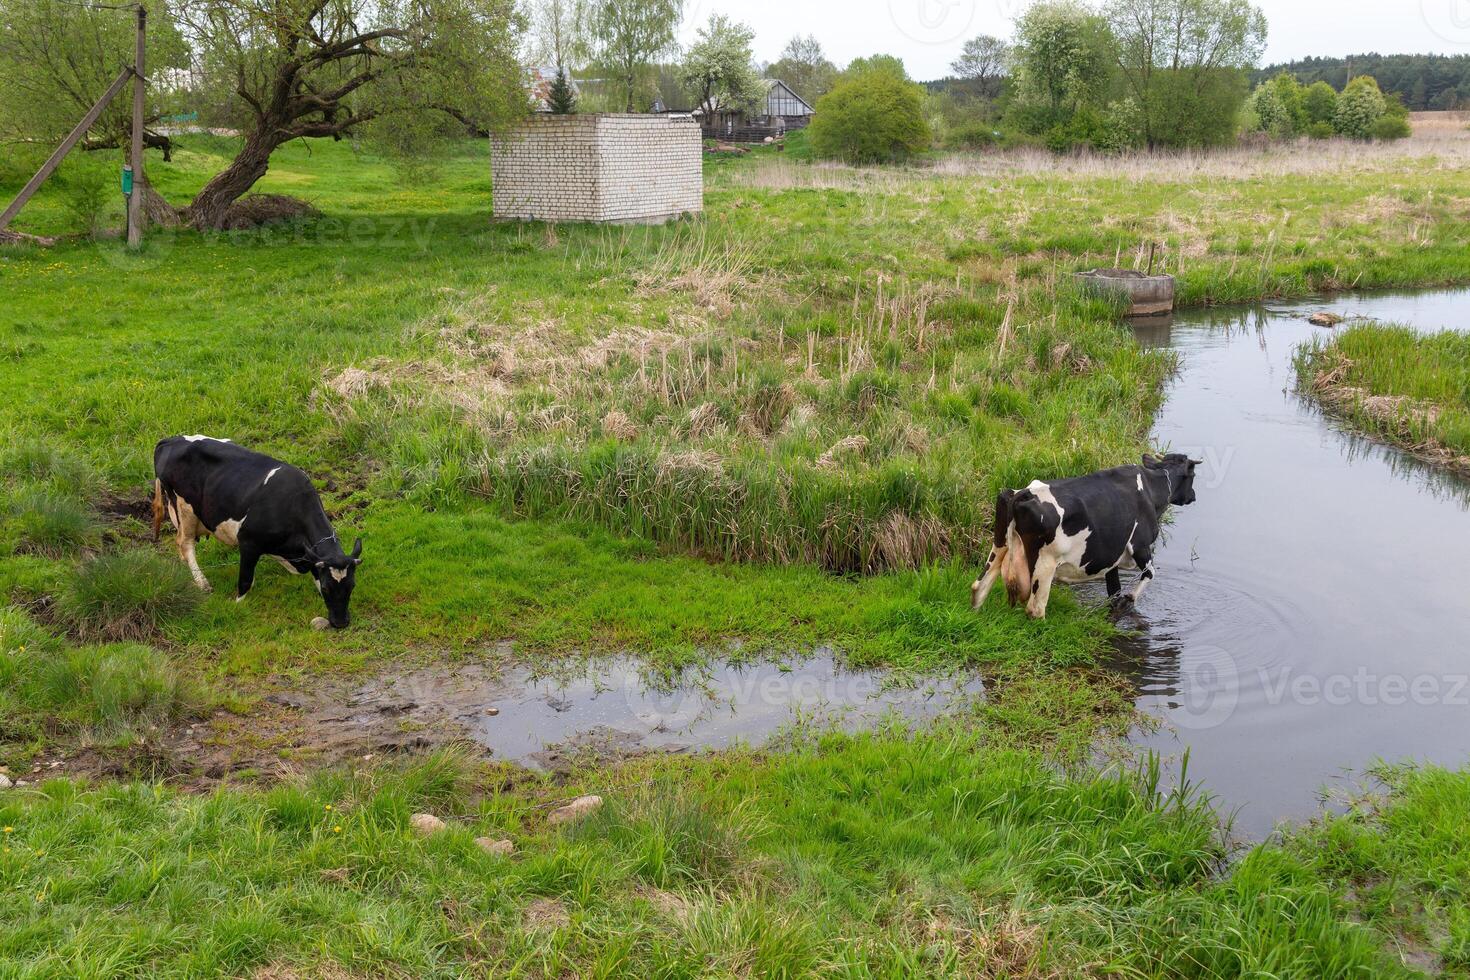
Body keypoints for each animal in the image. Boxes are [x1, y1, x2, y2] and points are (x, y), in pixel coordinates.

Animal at [152, 437, 364, 628]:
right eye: (328, 588)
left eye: (352, 585)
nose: (341, 623)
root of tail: (171, 440)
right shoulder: (248, 543)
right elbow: (246, 580)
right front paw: (236, 605)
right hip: (184, 508)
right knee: (185, 544)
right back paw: (202, 583)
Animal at [970, 455, 1199, 620]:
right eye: (1193, 476)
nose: (1194, 496)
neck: (1152, 488)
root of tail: (1023, 493)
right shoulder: (1140, 545)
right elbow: (1150, 573)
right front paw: (1130, 598)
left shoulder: (1111, 556)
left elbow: (1114, 591)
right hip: (1046, 563)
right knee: (1035, 609)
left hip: (999, 545)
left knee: (979, 586)